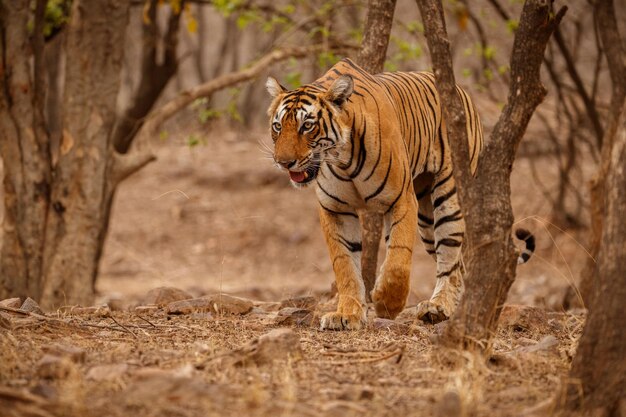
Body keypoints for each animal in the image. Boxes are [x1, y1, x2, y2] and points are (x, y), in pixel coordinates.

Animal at [264, 57, 532, 328]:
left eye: (307, 126)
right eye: (277, 127)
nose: (283, 162)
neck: (343, 160)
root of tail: (460, 90)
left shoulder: (401, 200)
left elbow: (398, 259)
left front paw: (386, 303)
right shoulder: (335, 209)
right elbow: (345, 264)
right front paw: (347, 314)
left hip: (448, 197)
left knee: (449, 258)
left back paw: (438, 307)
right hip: (426, 219)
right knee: (459, 264)